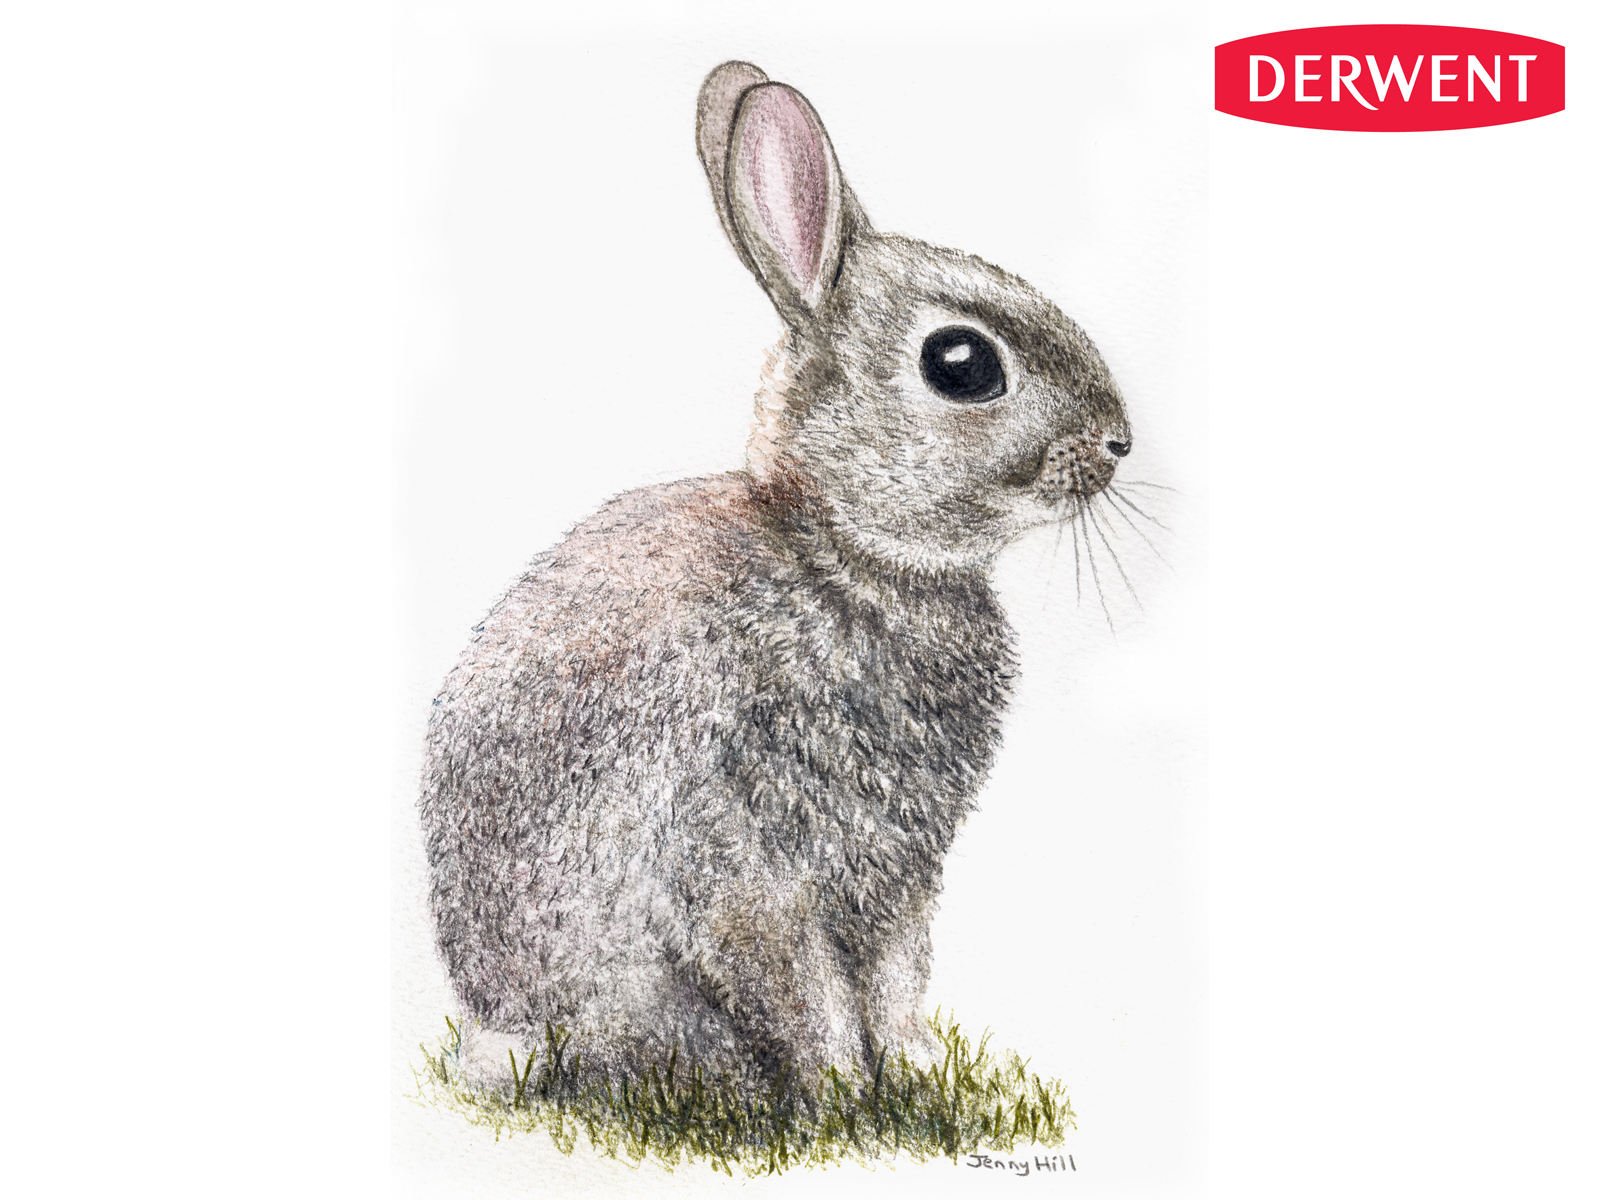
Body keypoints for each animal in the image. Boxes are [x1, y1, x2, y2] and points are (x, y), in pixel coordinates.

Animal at [419, 60, 1132, 1098]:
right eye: (960, 363)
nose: (1120, 441)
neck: (845, 555)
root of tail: (502, 1032)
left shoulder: (900, 881)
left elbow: (894, 984)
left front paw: (909, 1073)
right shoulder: (745, 862)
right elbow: (805, 991)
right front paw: (843, 1096)